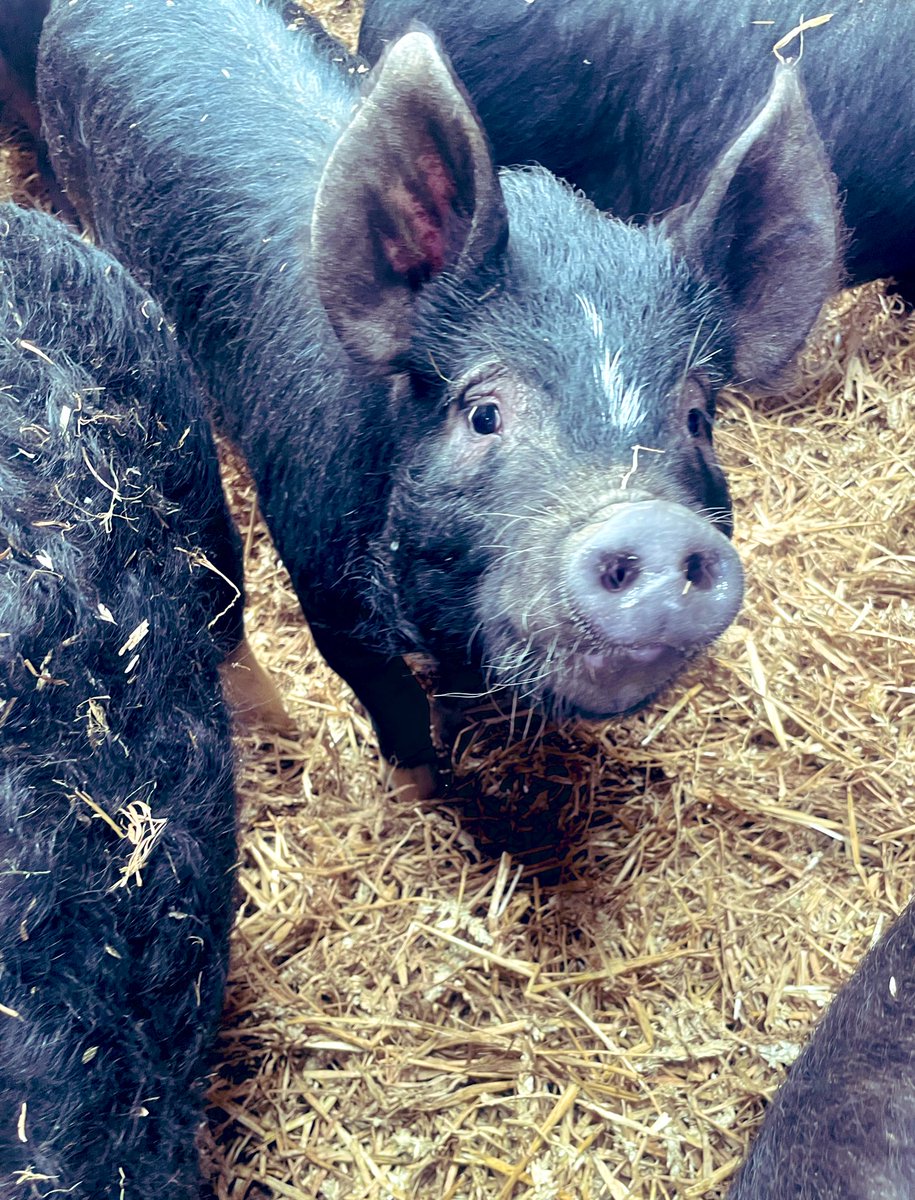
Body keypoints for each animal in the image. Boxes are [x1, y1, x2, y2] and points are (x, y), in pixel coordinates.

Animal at [36, 0, 839, 797]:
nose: (654, 524)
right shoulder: (321, 577)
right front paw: (419, 792)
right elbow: (390, 700)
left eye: (696, 418)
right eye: (483, 413)